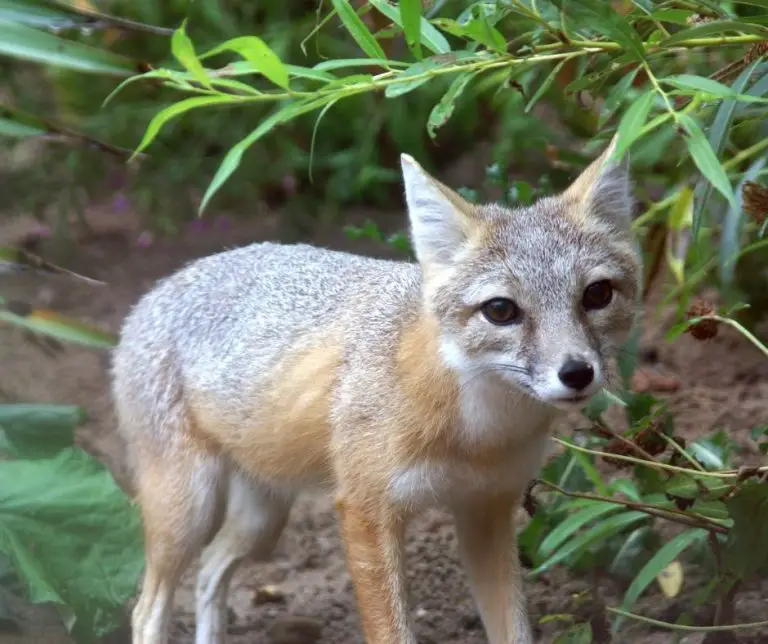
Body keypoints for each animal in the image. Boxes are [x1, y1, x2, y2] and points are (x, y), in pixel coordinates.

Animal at [112, 135, 641, 644]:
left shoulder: (486, 510)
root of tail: (156, 291)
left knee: (210, 571)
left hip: (262, 519)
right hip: (189, 511)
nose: (577, 372)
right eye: (501, 310)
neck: (478, 436)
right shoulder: (365, 512)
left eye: (596, 295)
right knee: (147, 609)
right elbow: (391, 631)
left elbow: (514, 631)